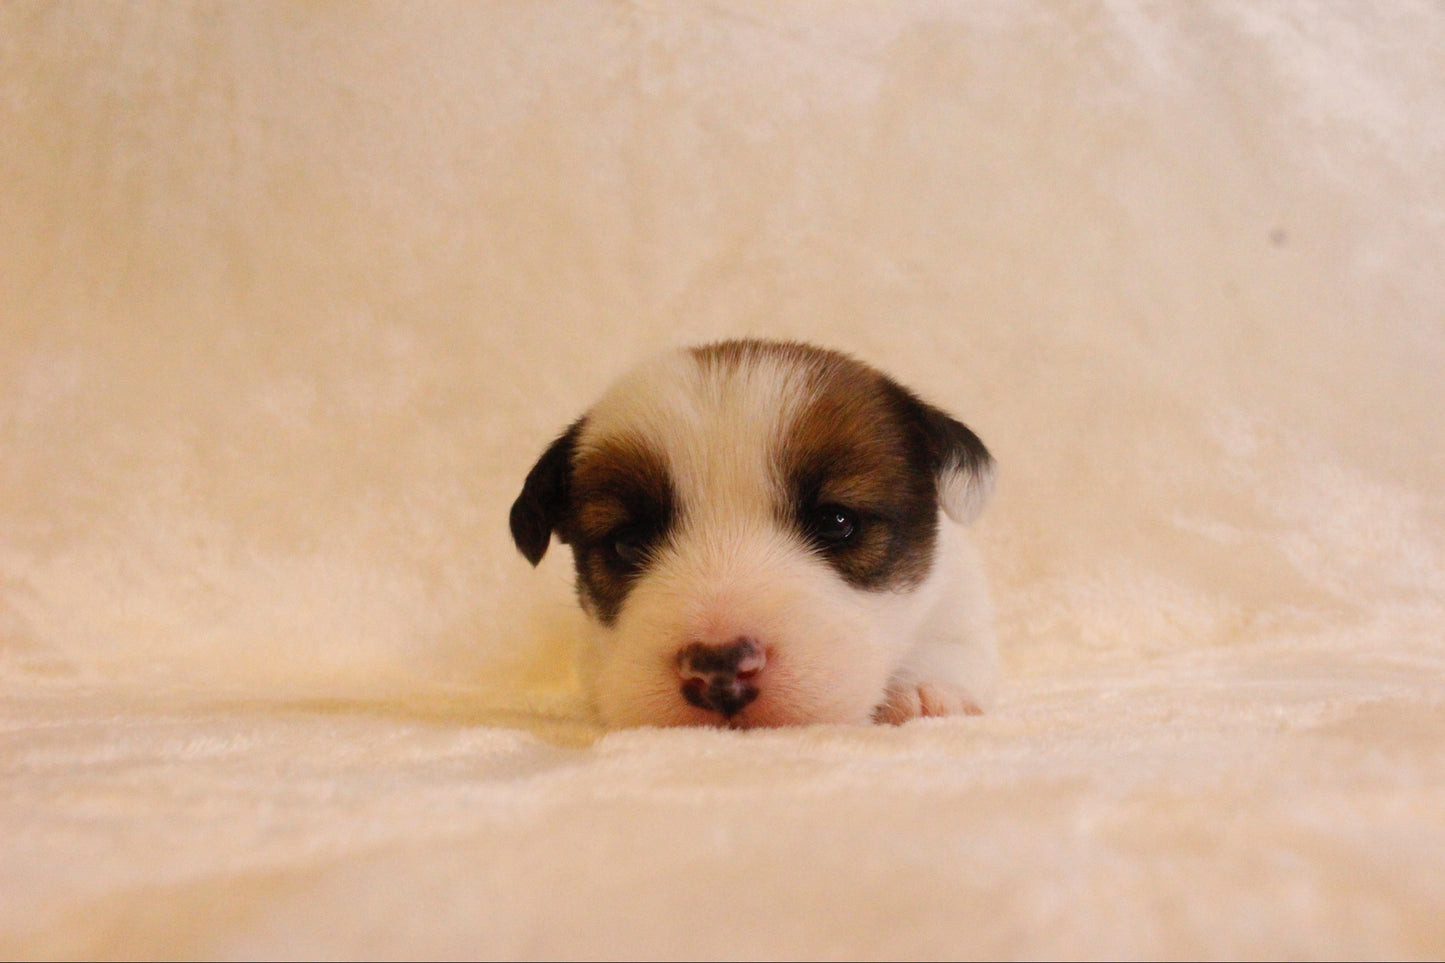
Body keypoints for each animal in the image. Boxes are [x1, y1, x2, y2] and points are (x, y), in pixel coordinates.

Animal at [514, 341, 999, 722]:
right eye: (627, 542)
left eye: (836, 523)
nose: (719, 667)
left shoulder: (961, 605)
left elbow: (951, 645)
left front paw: (922, 688)